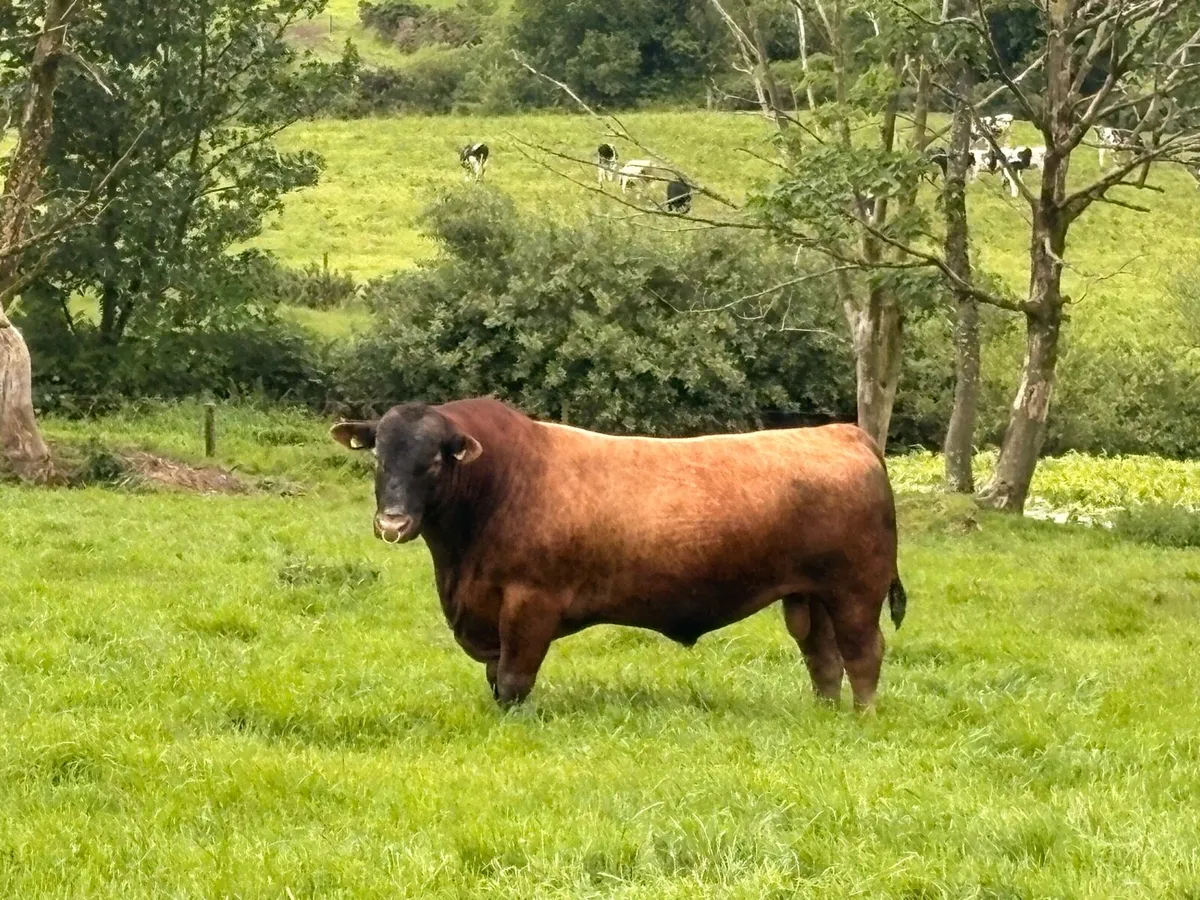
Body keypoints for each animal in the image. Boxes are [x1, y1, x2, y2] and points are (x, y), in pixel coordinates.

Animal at [331, 398, 907, 710]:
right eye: (379, 455)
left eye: (433, 461)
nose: (392, 522)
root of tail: (845, 432)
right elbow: (496, 677)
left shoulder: (529, 604)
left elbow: (514, 680)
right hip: (809, 597)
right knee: (823, 659)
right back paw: (825, 713)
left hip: (856, 591)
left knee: (863, 654)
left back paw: (862, 717)